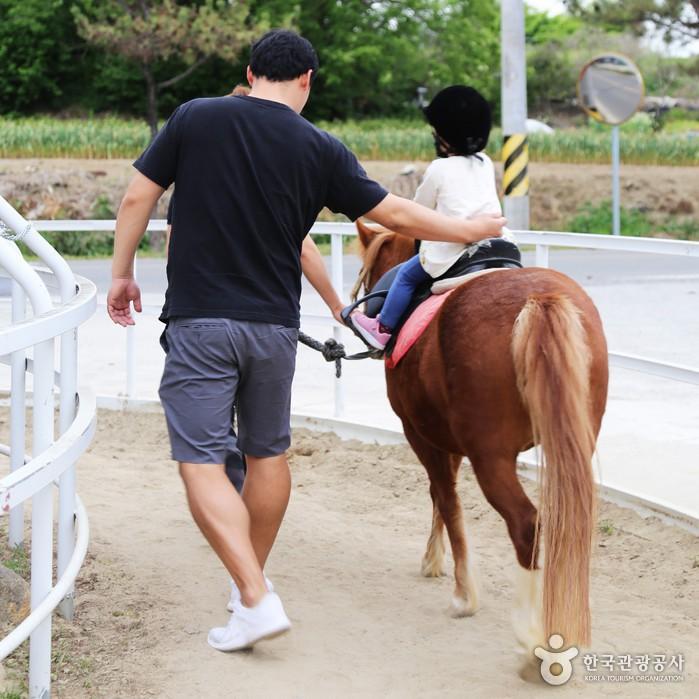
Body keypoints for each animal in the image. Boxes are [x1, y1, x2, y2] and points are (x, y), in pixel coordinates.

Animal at [356, 221, 608, 664]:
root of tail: (539, 299)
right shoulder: (447, 438)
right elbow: (442, 498)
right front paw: (434, 560)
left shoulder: (420, 434)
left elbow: (446, 499)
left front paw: (463, 594)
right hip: (572, 443)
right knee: (565, 521)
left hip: (491, 458)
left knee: (526, 523)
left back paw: (531, 633)